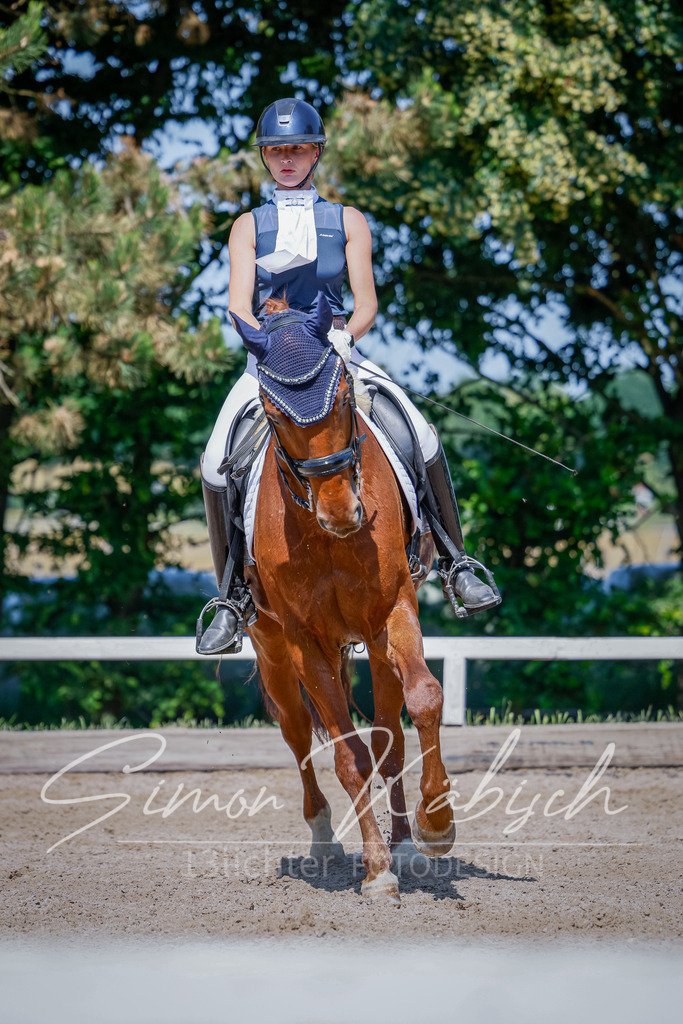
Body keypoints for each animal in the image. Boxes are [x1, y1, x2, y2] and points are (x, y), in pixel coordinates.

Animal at [231, 293, 455, 904]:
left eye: (345, 398)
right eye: (274, 414)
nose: (342, 513)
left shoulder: (393, 610)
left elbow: (423, 700)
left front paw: (435, 827)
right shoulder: (304, 642)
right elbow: (347, 757)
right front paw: (376, 872)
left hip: (371, 643)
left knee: (390, 736)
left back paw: (407, 844)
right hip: (273, 649)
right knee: (298, 734)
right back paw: (326, 840)